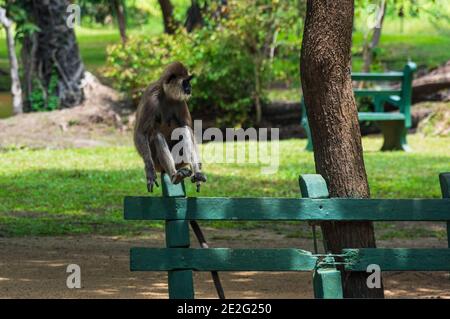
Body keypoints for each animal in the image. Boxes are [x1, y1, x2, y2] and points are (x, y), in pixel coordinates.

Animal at [132, 61, 206, 194]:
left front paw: (198, 170)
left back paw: (193, 174)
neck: (167, 95)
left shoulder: (180, 101)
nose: (190, 88)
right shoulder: (151, 95)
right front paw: (149, 170)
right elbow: (140, 132)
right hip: (158, 163)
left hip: (180, 160)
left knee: (185, 131)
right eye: (186, 82)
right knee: (157, 136)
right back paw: (174, 176)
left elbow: (189, 130)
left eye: (189, 81)